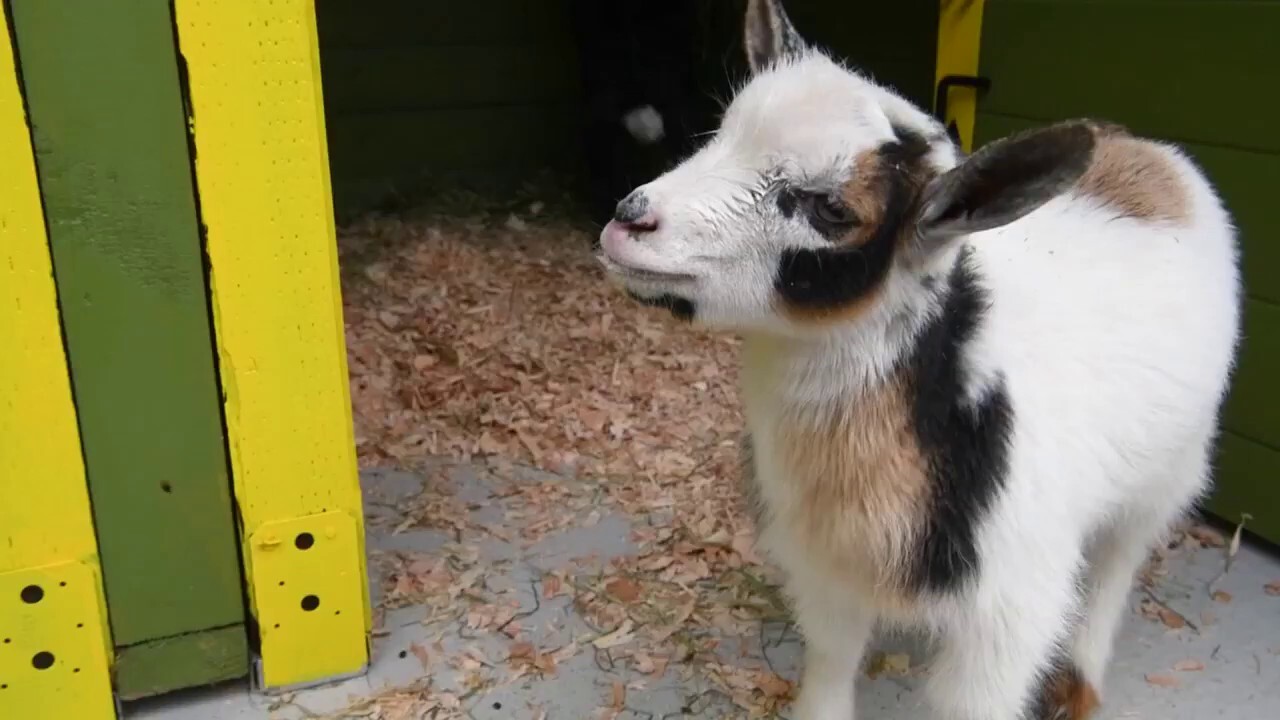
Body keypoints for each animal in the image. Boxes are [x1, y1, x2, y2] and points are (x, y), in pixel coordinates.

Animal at [596, 1, 1239, 717]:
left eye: (831, 207)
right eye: (719, 134)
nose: (629, 218)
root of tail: (1148, 152)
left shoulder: (1009, 614)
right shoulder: (824, 567)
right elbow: (831, 662)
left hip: (1172, 467)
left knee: (1120, 559)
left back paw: (1080, 681)